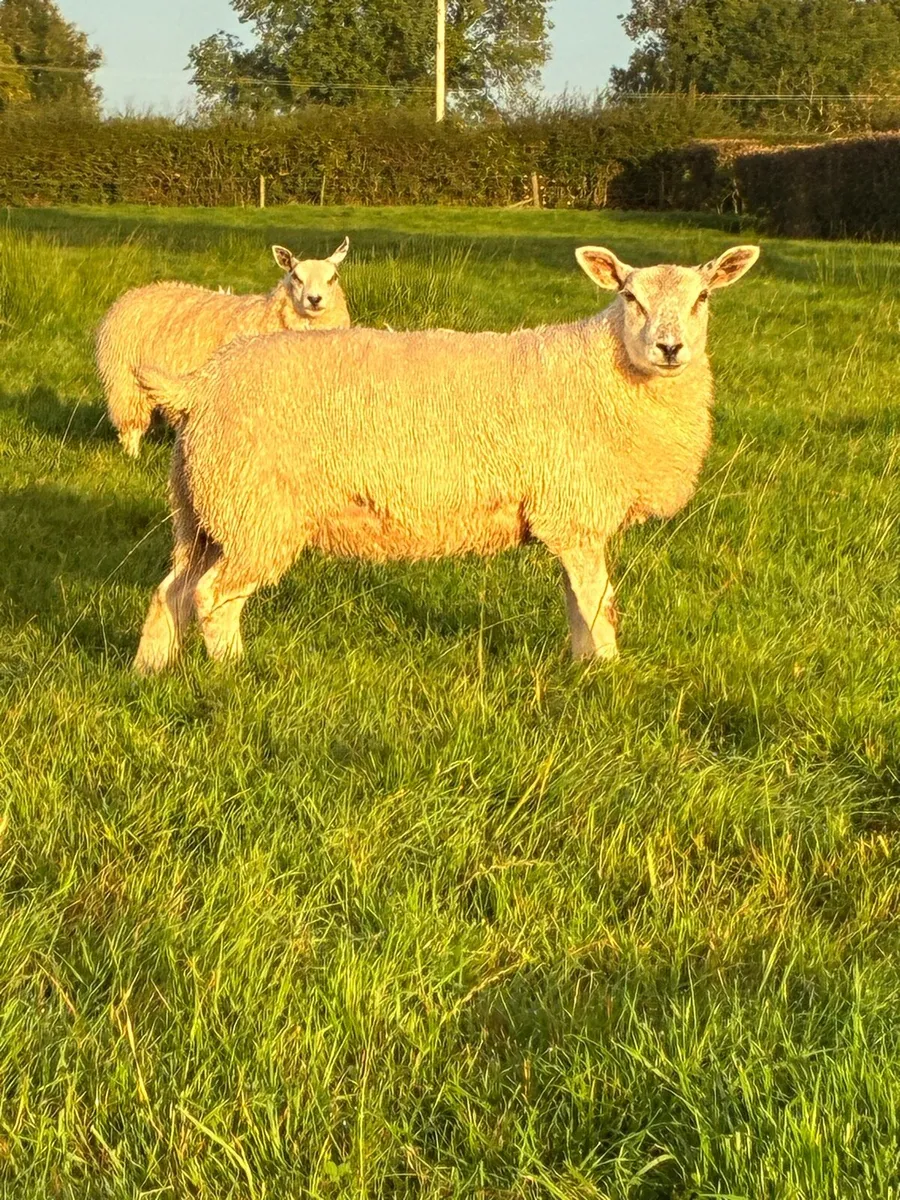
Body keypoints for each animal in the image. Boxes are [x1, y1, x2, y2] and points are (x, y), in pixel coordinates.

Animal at [95, 237, 351, 458]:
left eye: (333, 278)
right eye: (296, 277)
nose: (314, 299)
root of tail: (132, 294)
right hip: (125, 381)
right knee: (131, 426)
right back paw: (133, 456)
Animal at [132, 243, 759, 675]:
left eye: (703, 298)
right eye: (630, 297)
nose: (670, 348)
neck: (605, 373)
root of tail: (200, 385)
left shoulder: (565, 518)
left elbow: (577, 606)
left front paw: (581, 670)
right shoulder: (576, 513)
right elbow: (598, 605)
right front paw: (607, 677)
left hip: (203, 508)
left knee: (171, 593)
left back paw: (150, 671)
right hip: (256, 511)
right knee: (213, 599)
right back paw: (235, 675)